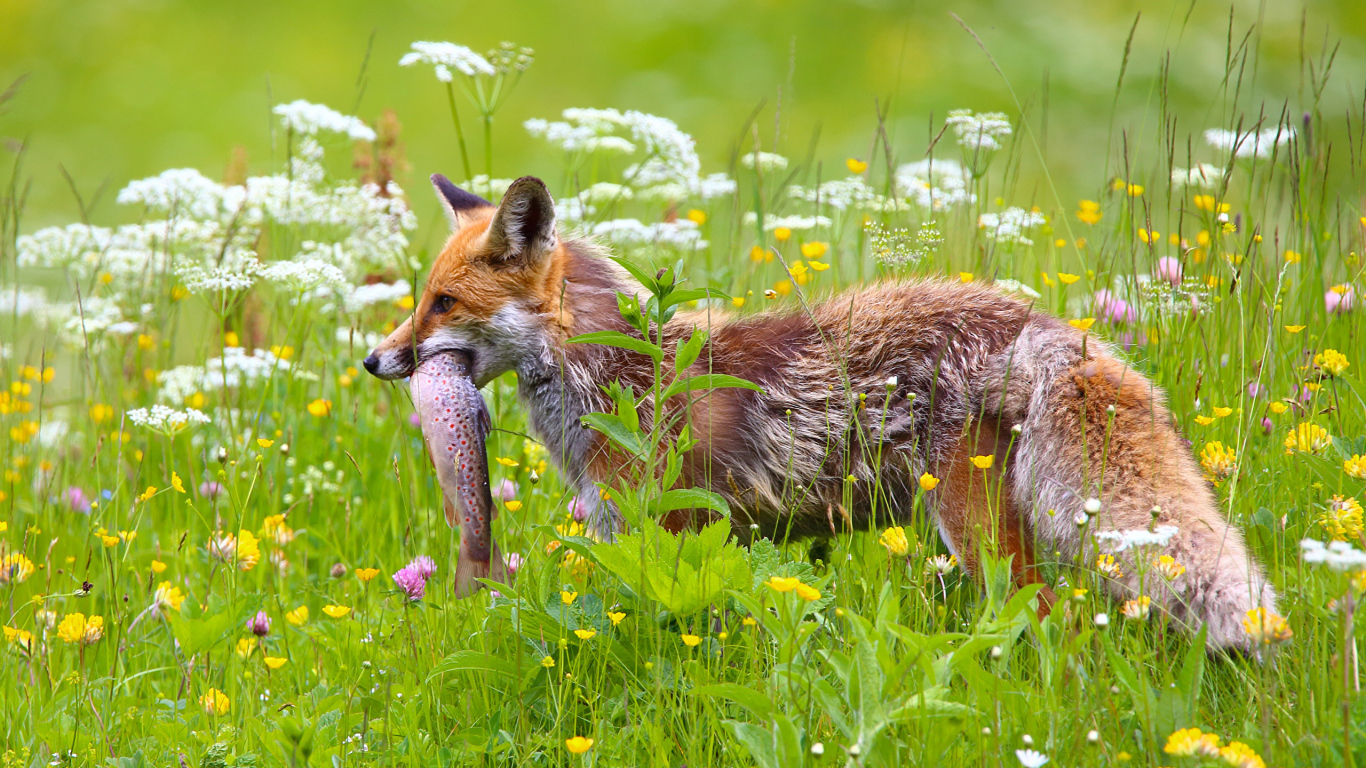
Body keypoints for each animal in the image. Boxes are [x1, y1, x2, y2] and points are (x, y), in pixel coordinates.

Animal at [366, 174, 1278, 650]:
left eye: (443, 304)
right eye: (419, 300)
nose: (374, 360)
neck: (618, 373)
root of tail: (1041, 327)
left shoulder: (665, 530)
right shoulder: (707, 539)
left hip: (975, 532)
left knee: (1052, 620)